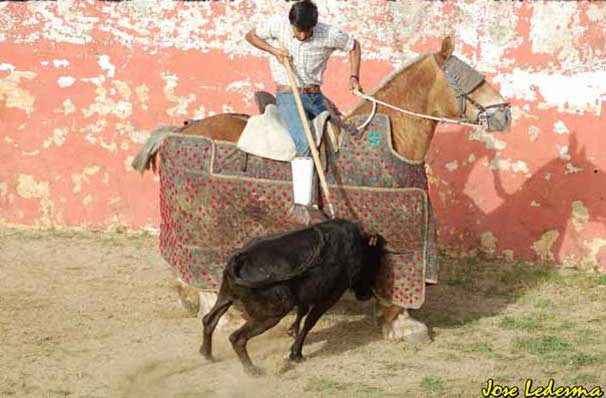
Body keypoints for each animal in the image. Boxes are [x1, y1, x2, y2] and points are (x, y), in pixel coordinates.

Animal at [139, 37, 512, 340]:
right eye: (471, 78)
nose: (505, 114)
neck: (390, 137)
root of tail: (177, 132)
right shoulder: (400, 234)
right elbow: (399, 275)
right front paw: (402, 323)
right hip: (205, 228)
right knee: (199, 265)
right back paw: (223, 316)